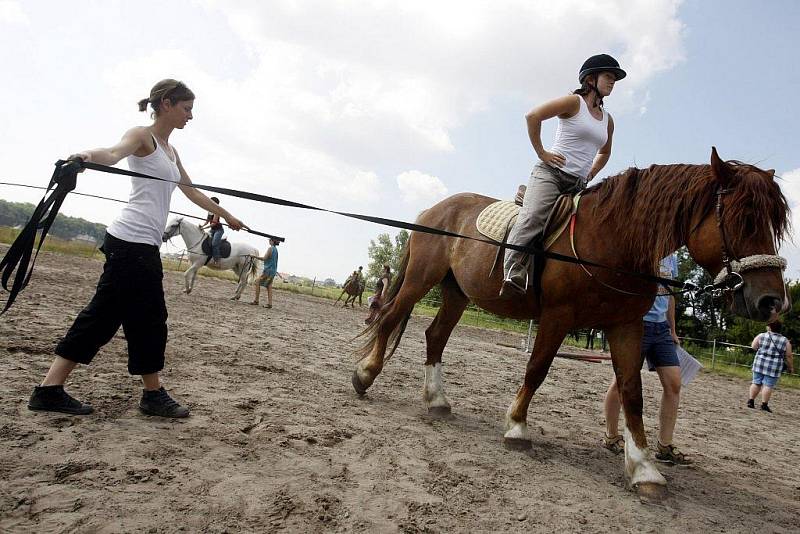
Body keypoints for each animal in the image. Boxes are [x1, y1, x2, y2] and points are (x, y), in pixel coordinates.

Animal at [352, 148, 788, 502]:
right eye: (744, 219)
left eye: (774, 223)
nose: (772, 302)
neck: (612, 241)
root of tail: (434, 210)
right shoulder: (558, 316)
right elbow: (537, 368)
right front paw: (516, 427)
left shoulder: (625, 326)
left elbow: (631, 393)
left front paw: (645, 469)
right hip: (420, 279)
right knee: (389, 319)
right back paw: (365, 375)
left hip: (457, 293)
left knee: (435, 336)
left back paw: (437, 401)